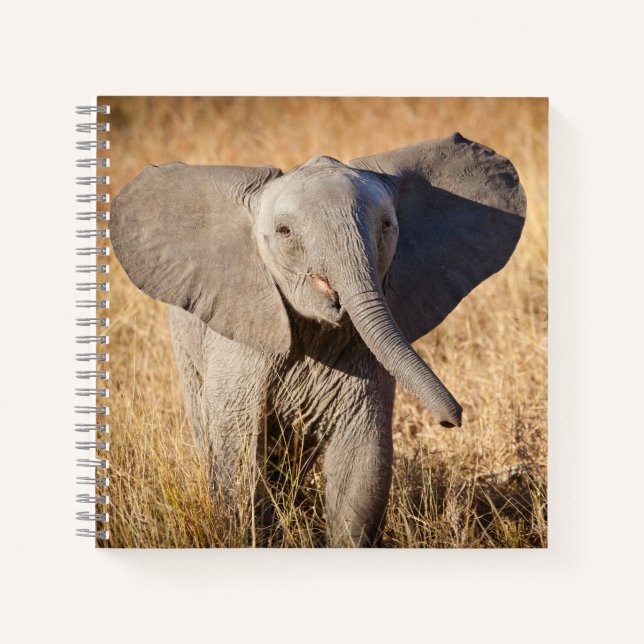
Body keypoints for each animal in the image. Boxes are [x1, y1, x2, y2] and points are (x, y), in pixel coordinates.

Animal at [111, 133, 526, 547]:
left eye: (386, 225)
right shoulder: (241, 341)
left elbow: (361, 460)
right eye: (284, 232)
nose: (452, 420)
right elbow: (238, 453)